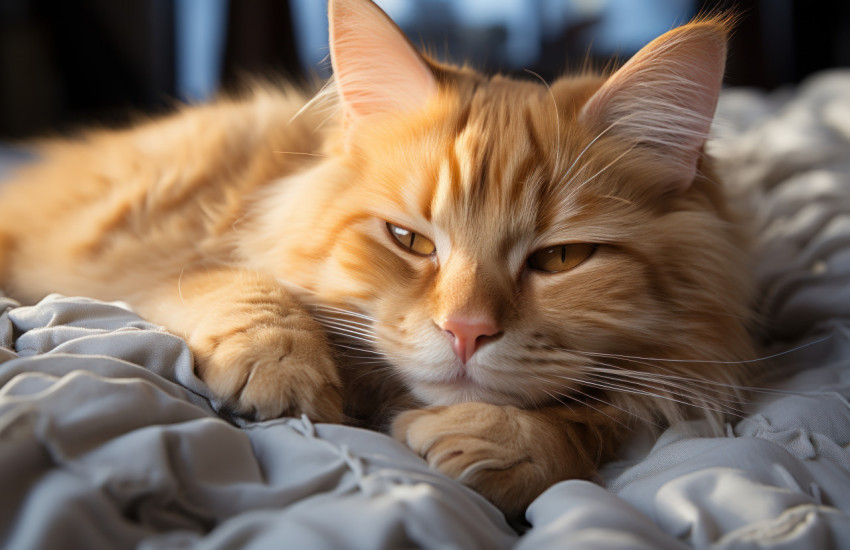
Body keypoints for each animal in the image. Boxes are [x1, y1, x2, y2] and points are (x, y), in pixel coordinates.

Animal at [0, 0, 756, 520]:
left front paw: (506, 441)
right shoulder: (160, 265)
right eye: (410, 241)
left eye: (562, 257)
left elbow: (584, 425)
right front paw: (284, 369)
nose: (466, 332)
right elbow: (252, 292)